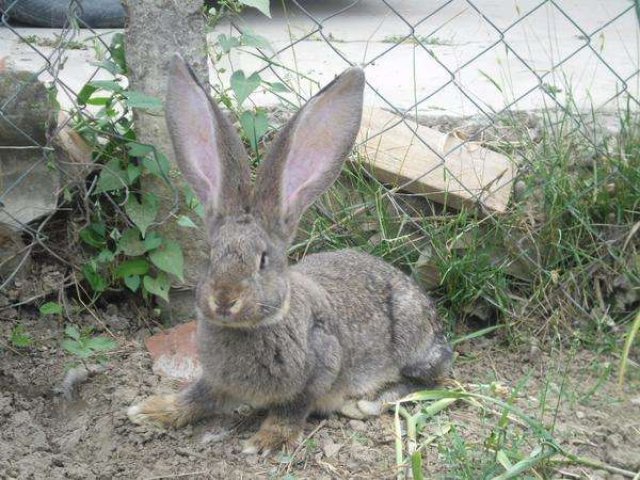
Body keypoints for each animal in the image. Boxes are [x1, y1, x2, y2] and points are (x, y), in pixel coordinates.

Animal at [127, 55, 452, 454]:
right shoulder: (216, 380)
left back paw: (365, 403)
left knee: (427, 381)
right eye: (211, 255)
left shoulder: (320, 367)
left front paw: (267, 440)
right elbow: (197, 397)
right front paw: (151, 410)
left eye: (263, 260)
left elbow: (293, 408)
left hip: (410, 340)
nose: (225, 299)